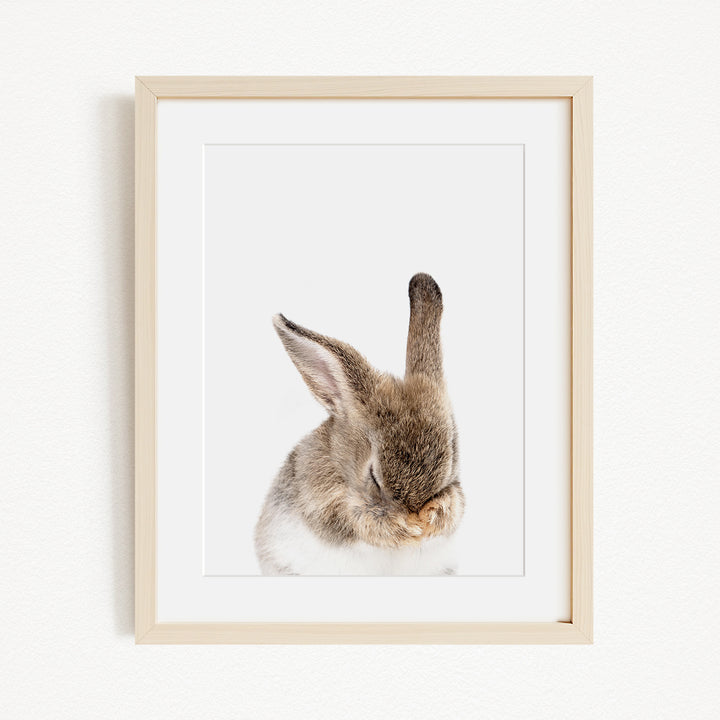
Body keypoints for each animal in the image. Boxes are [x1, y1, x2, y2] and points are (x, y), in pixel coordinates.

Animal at [254, 273, 464, 575]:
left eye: (451, 460)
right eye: (373, 476)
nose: (416, 515)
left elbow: (455, 505)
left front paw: (432, 518)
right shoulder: (328, 507)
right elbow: (360, 522)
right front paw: (406, 528)